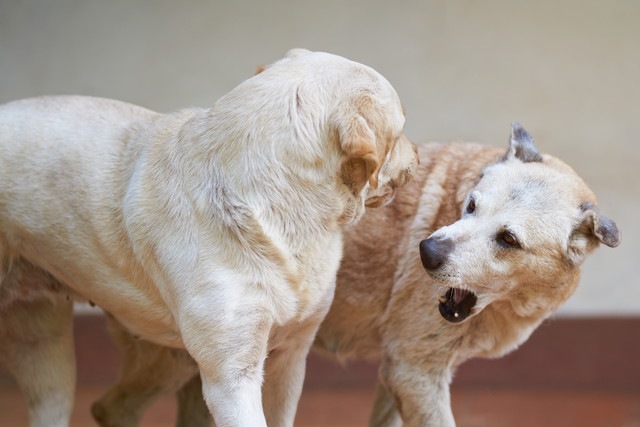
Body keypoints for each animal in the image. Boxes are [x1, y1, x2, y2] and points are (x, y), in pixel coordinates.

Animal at [91, 123, 620, 427]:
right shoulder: (415, 372)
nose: (427, 252)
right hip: (189, 359)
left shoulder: (401, 372)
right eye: (471, 205)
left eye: (508, 239)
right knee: (108, 408)